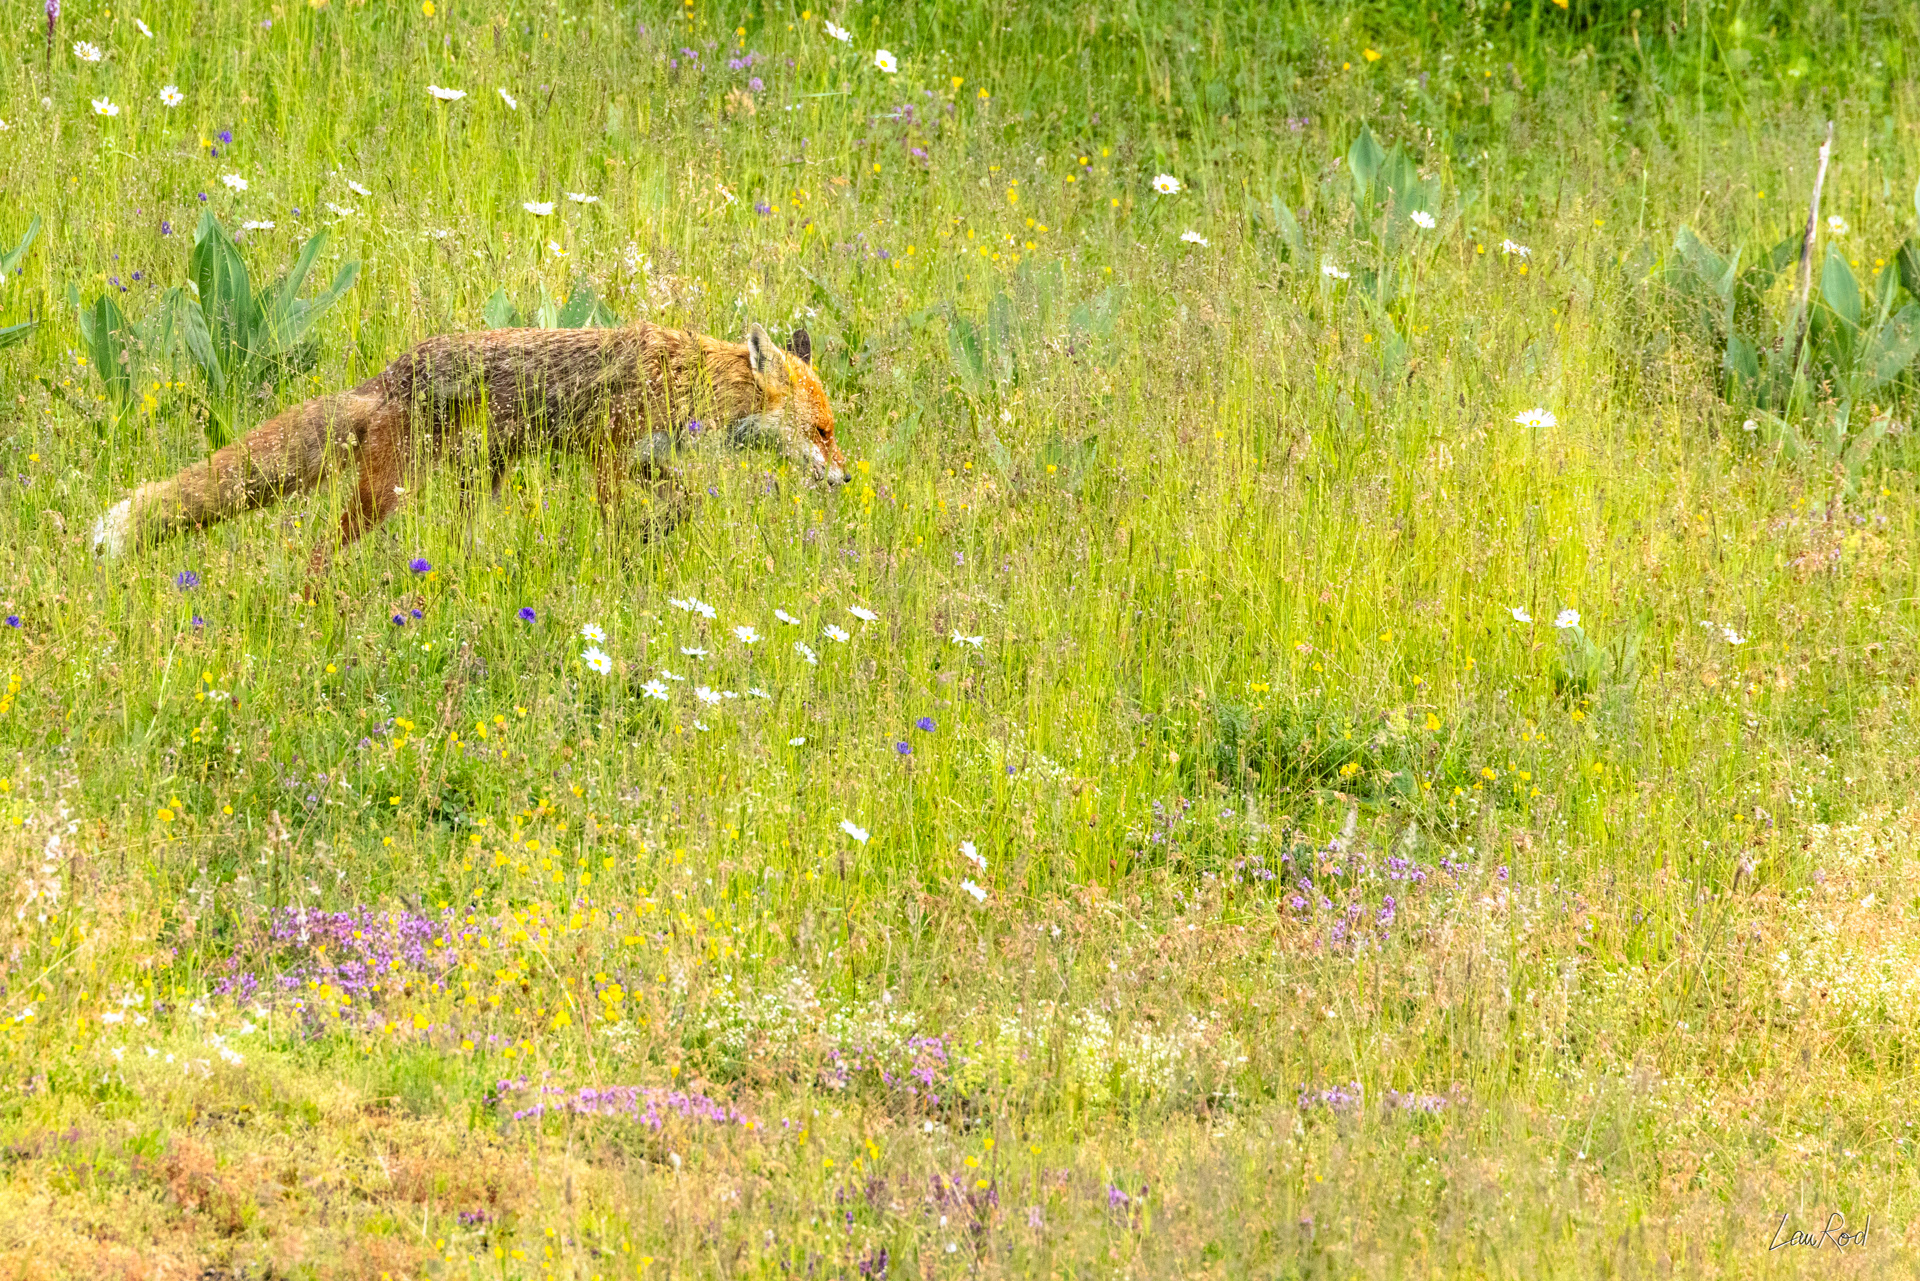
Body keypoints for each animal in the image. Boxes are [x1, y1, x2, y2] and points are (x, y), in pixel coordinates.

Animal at [89, 321, 846, 572]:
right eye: (822, 432)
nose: (843, 480)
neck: (692, 379)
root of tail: (389, 374)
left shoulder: (648, 461)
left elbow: (681, 505)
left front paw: (653, 537)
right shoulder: (607, 455)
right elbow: (618, 516)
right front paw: (625, 553)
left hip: (474, 482)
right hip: (385, 496)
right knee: (318, 551)